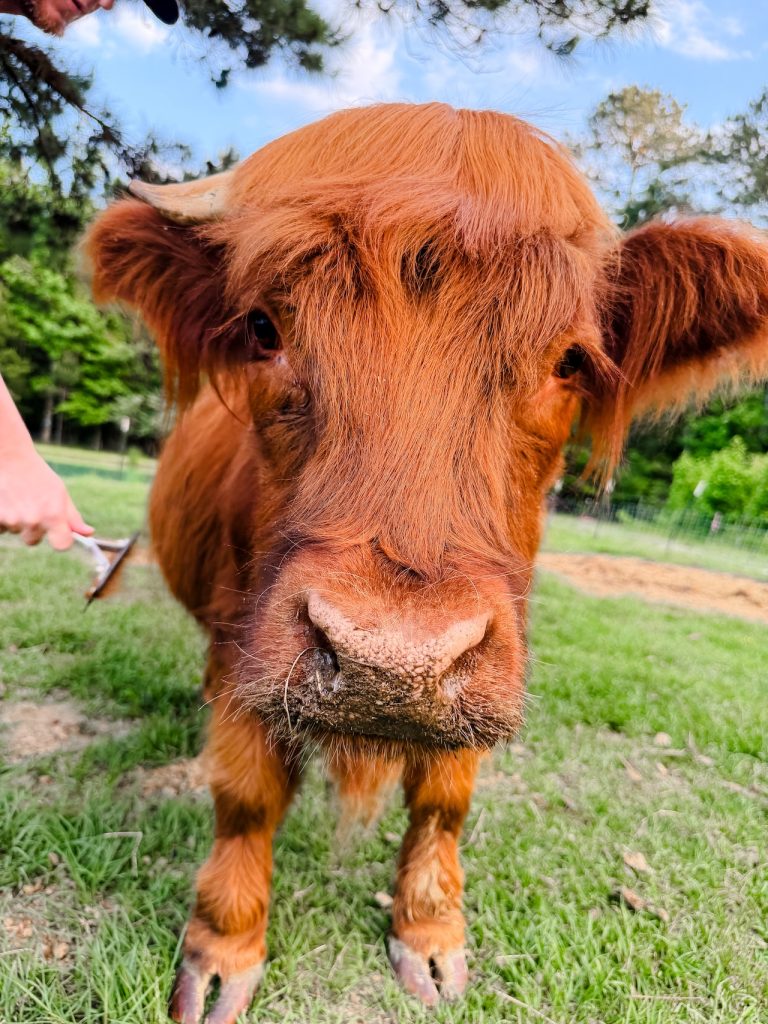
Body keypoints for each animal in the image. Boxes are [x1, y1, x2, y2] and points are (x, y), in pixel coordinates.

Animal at [86, 102, 768, 1024]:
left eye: (569, 360)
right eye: (265, 329)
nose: (390, 662)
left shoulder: (480, 665)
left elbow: (444, 801)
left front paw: (431, 936)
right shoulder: (243, 649)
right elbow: (247, 795)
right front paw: (223, 951)